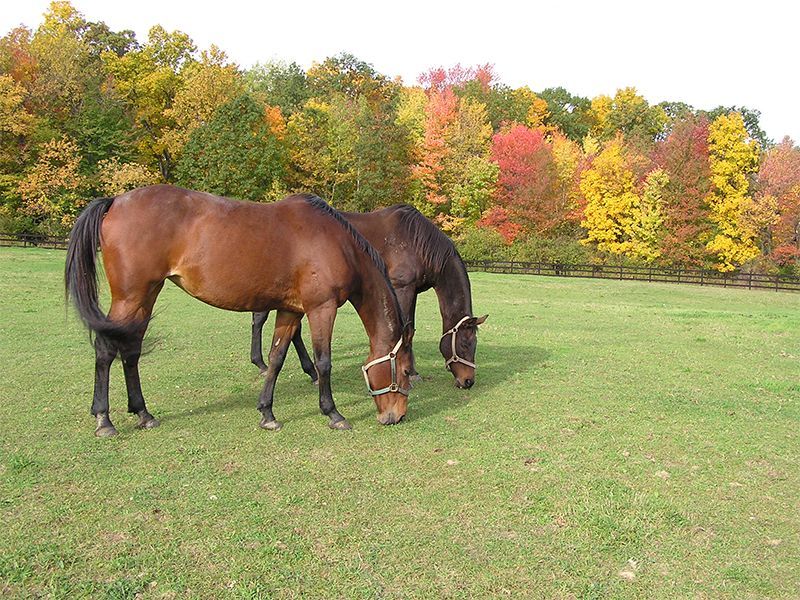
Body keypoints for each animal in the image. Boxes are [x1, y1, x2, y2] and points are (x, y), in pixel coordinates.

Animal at [65, 185, 414, 437]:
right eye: (404, 372)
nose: (396, 416)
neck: (337, 244)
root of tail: (115, 201)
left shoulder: (290, 311)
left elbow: (276, 358)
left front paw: (267, 413)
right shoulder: (321, 308)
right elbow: (323, 362)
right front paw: (333, 413)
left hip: (146, 296)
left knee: (131, 350)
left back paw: (143, 413)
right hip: (130, 297)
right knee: (106, 349)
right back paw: (104, 420)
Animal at [251, 204, 487, 389]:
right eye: (465, 344)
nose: (468, 381)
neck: (416, 242)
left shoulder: (412, 291)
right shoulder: (402, 288)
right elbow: (408, 328)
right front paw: (412, 373)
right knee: (262, 320)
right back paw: (265, 365)